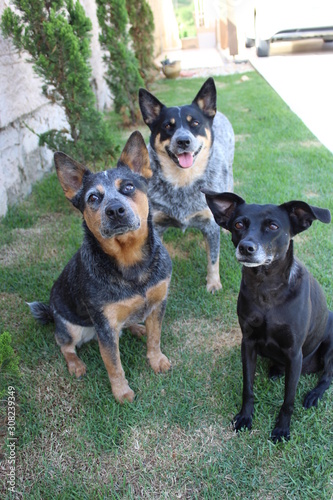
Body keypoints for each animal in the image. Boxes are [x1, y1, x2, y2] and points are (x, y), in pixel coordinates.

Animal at [28, 132, 171, 402]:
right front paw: (122, 392)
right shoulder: (104, 325)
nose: (115, 210)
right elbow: (113, 364)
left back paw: (137, 327)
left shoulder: (158, 303)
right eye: (93, 197)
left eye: (128, 187)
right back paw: (76, 364)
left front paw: (156, 360)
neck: (131, 264)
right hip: (71, 327)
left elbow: (156, 338)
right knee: (64, 345)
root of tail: (51, 311)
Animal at [137, 76, 233, 292]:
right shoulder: (156, 225)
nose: (183, 141)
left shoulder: (210, 225)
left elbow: (213, 259)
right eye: (167, 126)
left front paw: (213, 284)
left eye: (195, 123)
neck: (183, 182)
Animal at [202, 190, 332, 442]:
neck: (266, 288)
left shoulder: (294, 353)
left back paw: (313, 395)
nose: (246, 247)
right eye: (239, 224)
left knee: (326, 377)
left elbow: (288, 400)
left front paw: (282, 429)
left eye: (273, 226)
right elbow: (248, 387)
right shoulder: (248, 343)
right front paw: (244, 417)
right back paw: (275, 371)